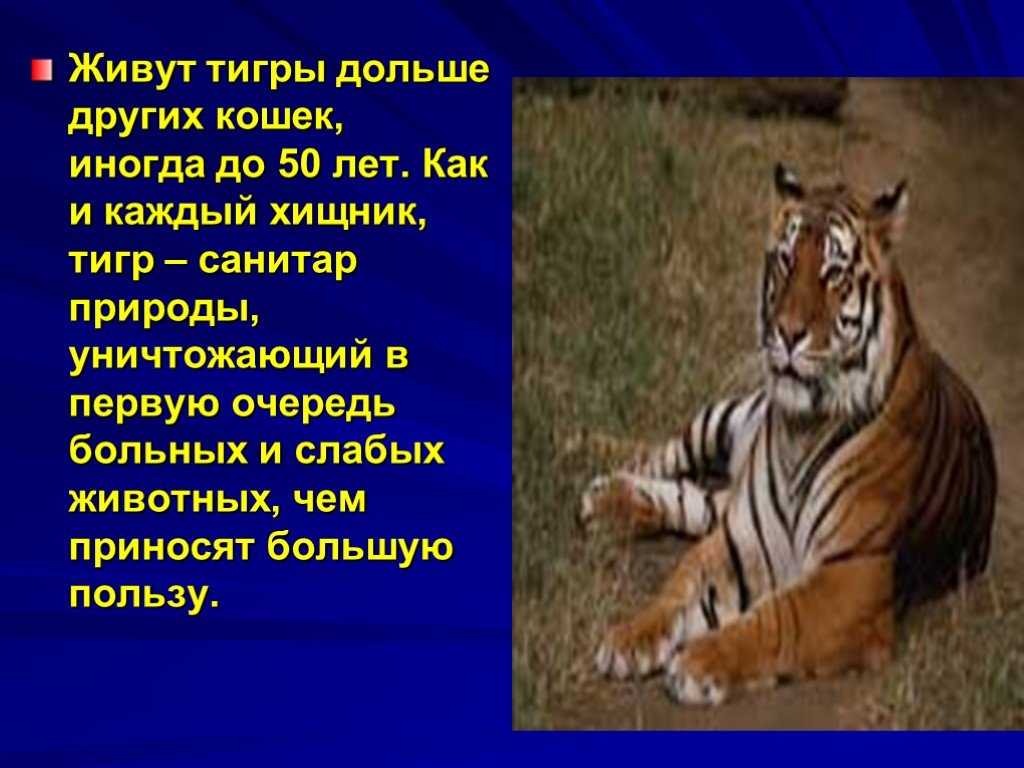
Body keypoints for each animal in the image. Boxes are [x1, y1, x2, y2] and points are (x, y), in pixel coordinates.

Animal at [579, 163, 997, 706]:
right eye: (785, 261)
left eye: (834, 273)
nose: (788, 333)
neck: (801, 427)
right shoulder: (740, 539)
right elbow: (679, 588)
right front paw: (628, 638)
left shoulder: (853, 576)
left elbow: (776, 619)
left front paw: (697, 661)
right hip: (726, 419)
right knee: (665, 453)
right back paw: (582, 460)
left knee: (695, 499)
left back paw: (603, 499)